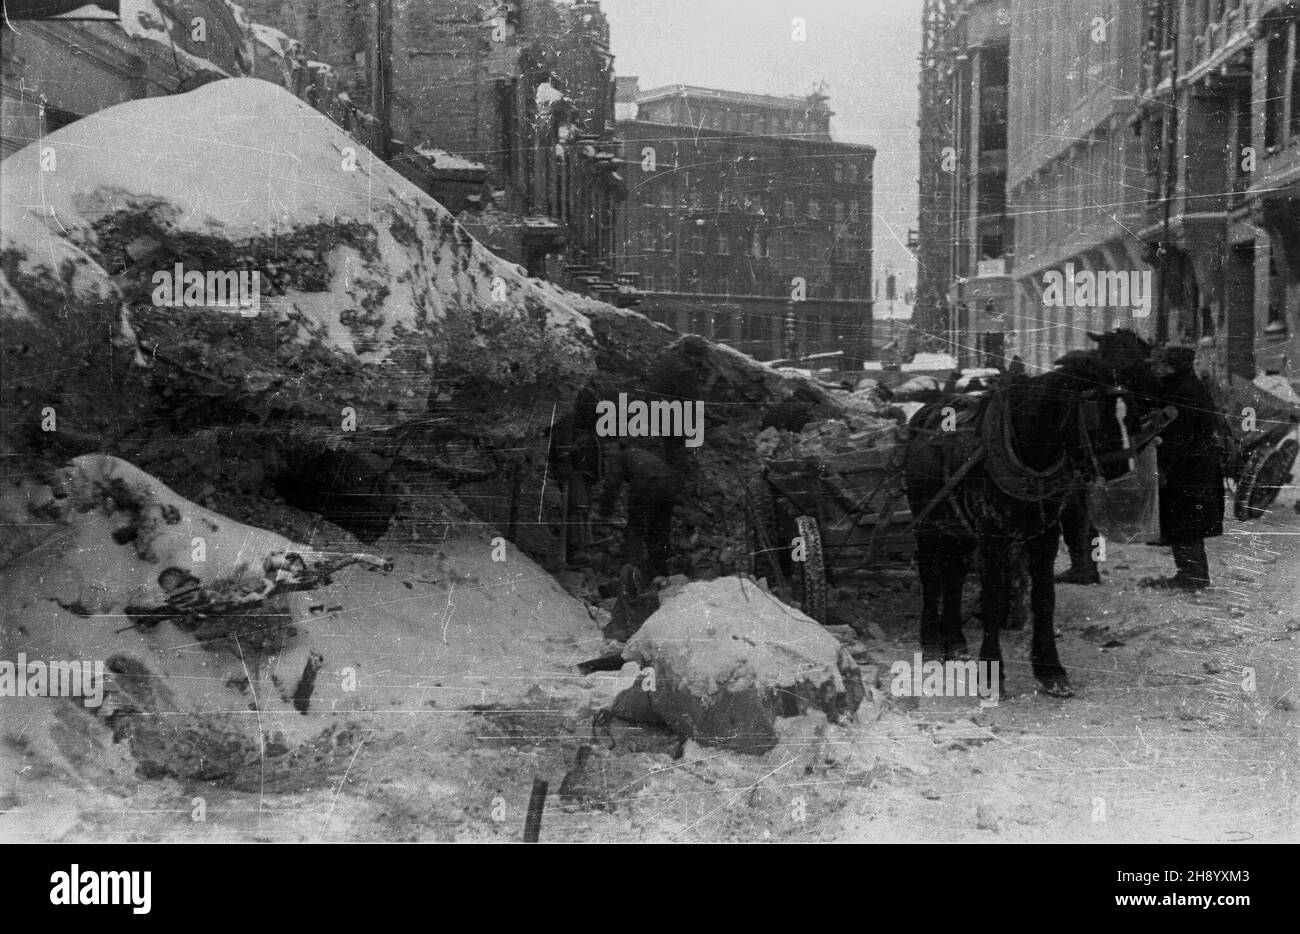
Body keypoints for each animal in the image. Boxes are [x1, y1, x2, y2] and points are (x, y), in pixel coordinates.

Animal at [904, 333, 1159, 697]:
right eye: (1096, 413)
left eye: (1133, 408)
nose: (1124, 474)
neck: (1028, 454)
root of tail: (924, 413)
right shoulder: (993, 535)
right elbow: (993, 599)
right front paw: (992, 674)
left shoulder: (1044, 535)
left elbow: (1044, 598)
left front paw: (1051, 670)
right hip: (926, 523)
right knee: (932, 577)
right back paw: (930, 645)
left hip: (959, 529)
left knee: (954, 575)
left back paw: (955, 642)